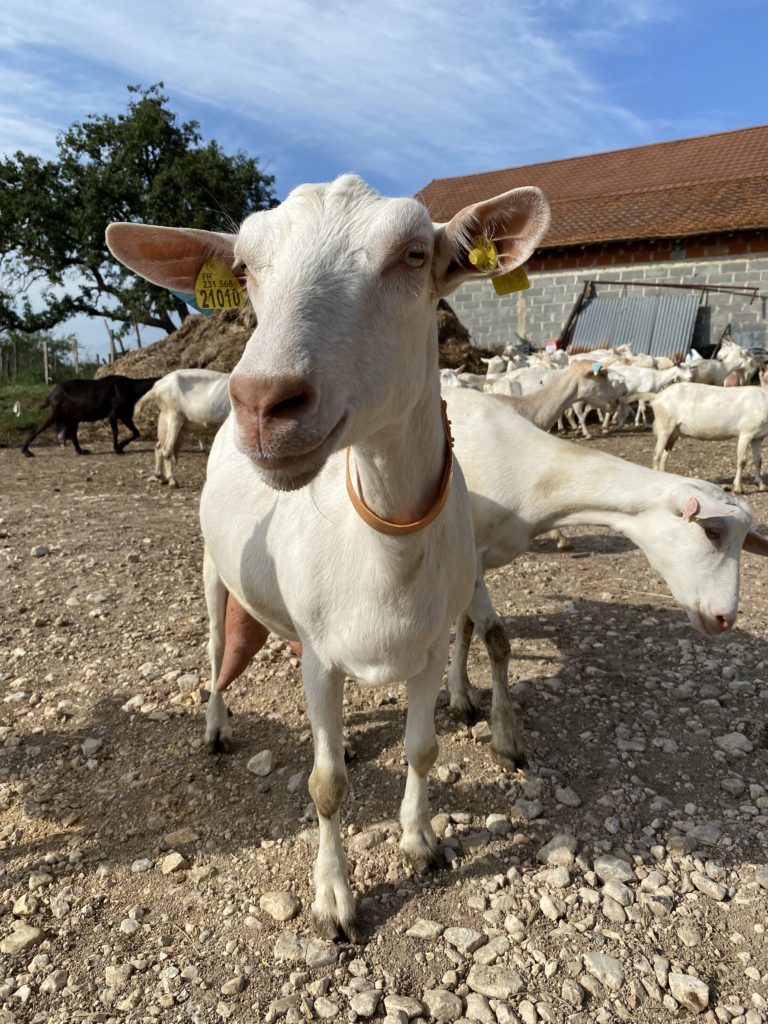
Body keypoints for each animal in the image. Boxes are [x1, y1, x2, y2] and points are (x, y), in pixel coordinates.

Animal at [109, 176, 552, 942]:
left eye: (414, 254)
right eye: (244, 270)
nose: (262, 402)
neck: (386, 551)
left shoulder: (427, 646)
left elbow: (422, 750)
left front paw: (420, 843)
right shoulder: (321, 656)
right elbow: (325, 787)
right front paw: (335, 901)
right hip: (213, 569)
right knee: (213, 648)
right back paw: (217, 729)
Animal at [442, 385, 765, 770]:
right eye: (712, 531)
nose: (725, 618)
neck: (531, 475)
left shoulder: (476, 562)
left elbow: (466, 626)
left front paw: (461, 694)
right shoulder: (471, 556)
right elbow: (496, 640)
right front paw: (506, 740)